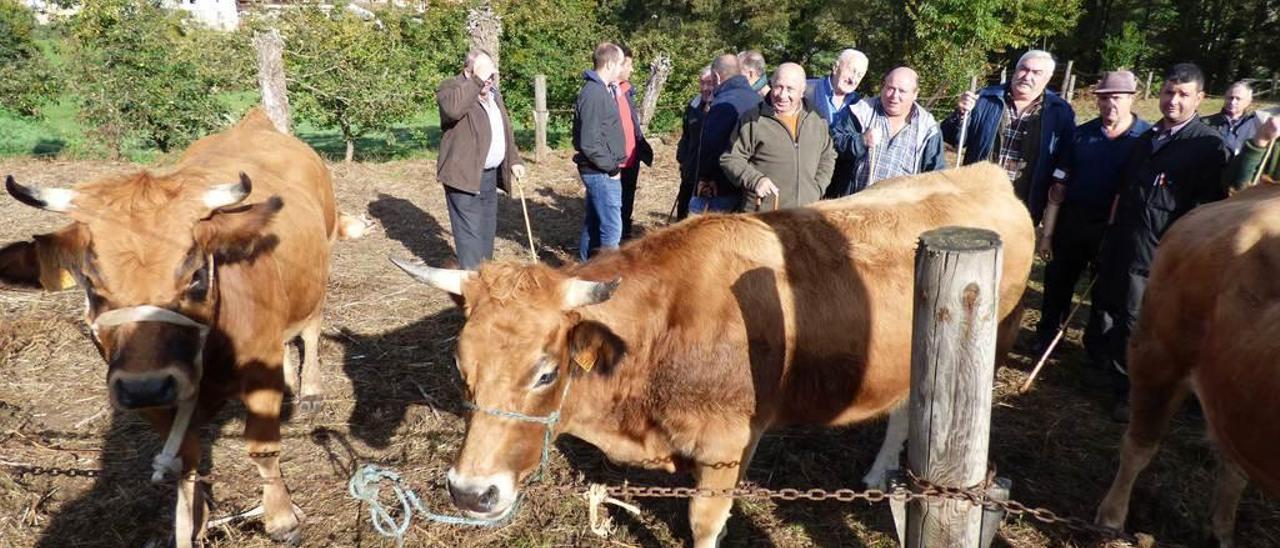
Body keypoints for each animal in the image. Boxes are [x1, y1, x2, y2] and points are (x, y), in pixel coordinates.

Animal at [0, 108, 355, 548]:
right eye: (92, 286)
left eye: (196, 276)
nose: (146, 387)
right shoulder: (146, 390)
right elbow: (186, 460)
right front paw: (194, 520)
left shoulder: (258, 375)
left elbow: (262, 449)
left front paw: (281, 517)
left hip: (322, 266)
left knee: (309, 329)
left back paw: (309, 390)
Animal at [394, 161, 1034, 542]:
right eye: (462, 370)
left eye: (546, 373)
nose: (468, 492)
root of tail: (985, 171)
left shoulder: (728, 446)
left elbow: (704, 522)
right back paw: (879, 474)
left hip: (995, 342)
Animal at [1095, 180, 1280, 542]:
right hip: (1158, 355)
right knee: (1139, 446)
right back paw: (1110, 519)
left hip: (1235, 386)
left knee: (1233, 462)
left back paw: (1221, 532)